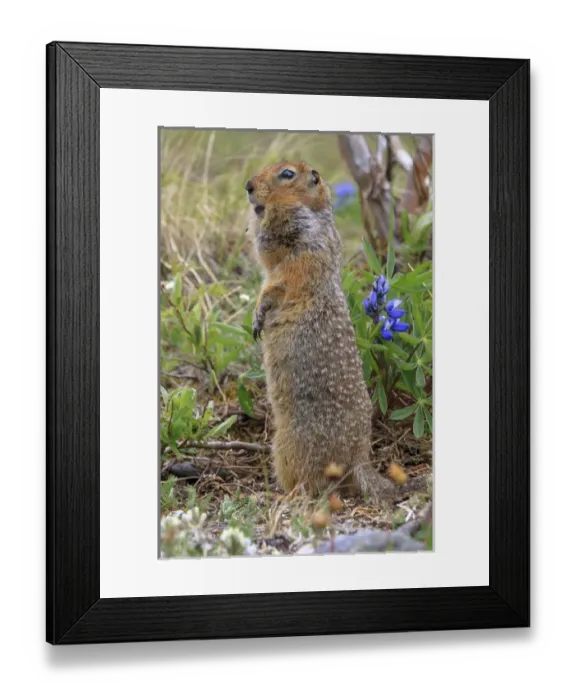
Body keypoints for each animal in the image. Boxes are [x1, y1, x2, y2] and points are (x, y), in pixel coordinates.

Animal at [245, 161, 427, 505]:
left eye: (287, 174)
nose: (248, 185)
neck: (313, 214)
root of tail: (359, 458)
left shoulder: (300, 251)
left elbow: (277, 282)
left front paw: (259, 313)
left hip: (286, 445)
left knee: (312, 485)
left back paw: (284, 496)